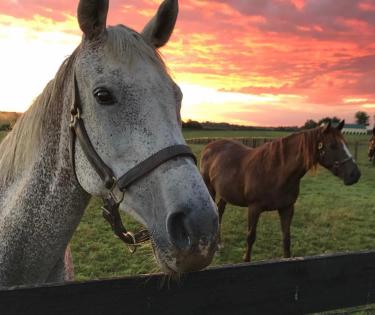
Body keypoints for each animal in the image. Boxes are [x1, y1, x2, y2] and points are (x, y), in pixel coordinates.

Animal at [201, 122, 362, 262]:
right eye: (333, 145)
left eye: (346, 143)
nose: (355, 175)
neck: (276, 170)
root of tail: (209, 146)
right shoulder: (254, 208)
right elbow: (250, 237)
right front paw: (246, 260)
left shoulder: (287, 208)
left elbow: (286, 239)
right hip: (210, 189)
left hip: (225, 193)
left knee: (220, 210)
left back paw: (219, 244)